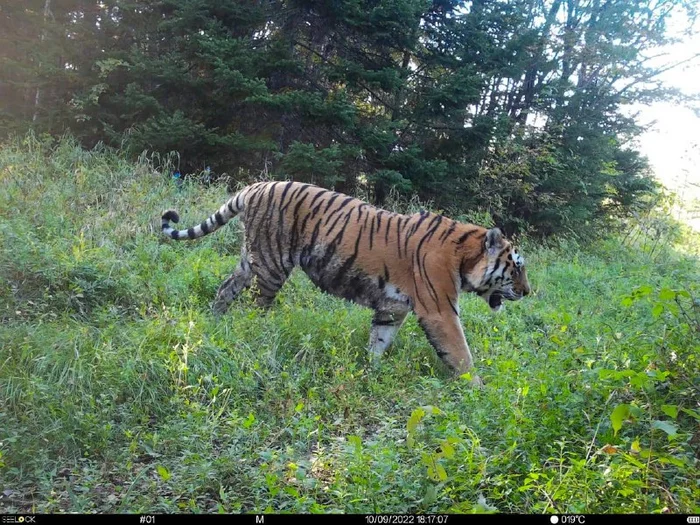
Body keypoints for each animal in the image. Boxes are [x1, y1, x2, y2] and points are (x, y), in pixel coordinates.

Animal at [160, 180, 532, 384]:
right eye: (516, 268)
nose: (528, 293)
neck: (465, 256)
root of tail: (256, 186)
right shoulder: (440, 310)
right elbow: (460, 352)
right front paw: (478, 387)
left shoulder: (393, 308)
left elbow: (379, 341)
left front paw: (372, 371)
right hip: (271, 264)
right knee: (257, 309)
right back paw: (259, 338)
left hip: (250, 258)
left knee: (226, 289)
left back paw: (216, 322)